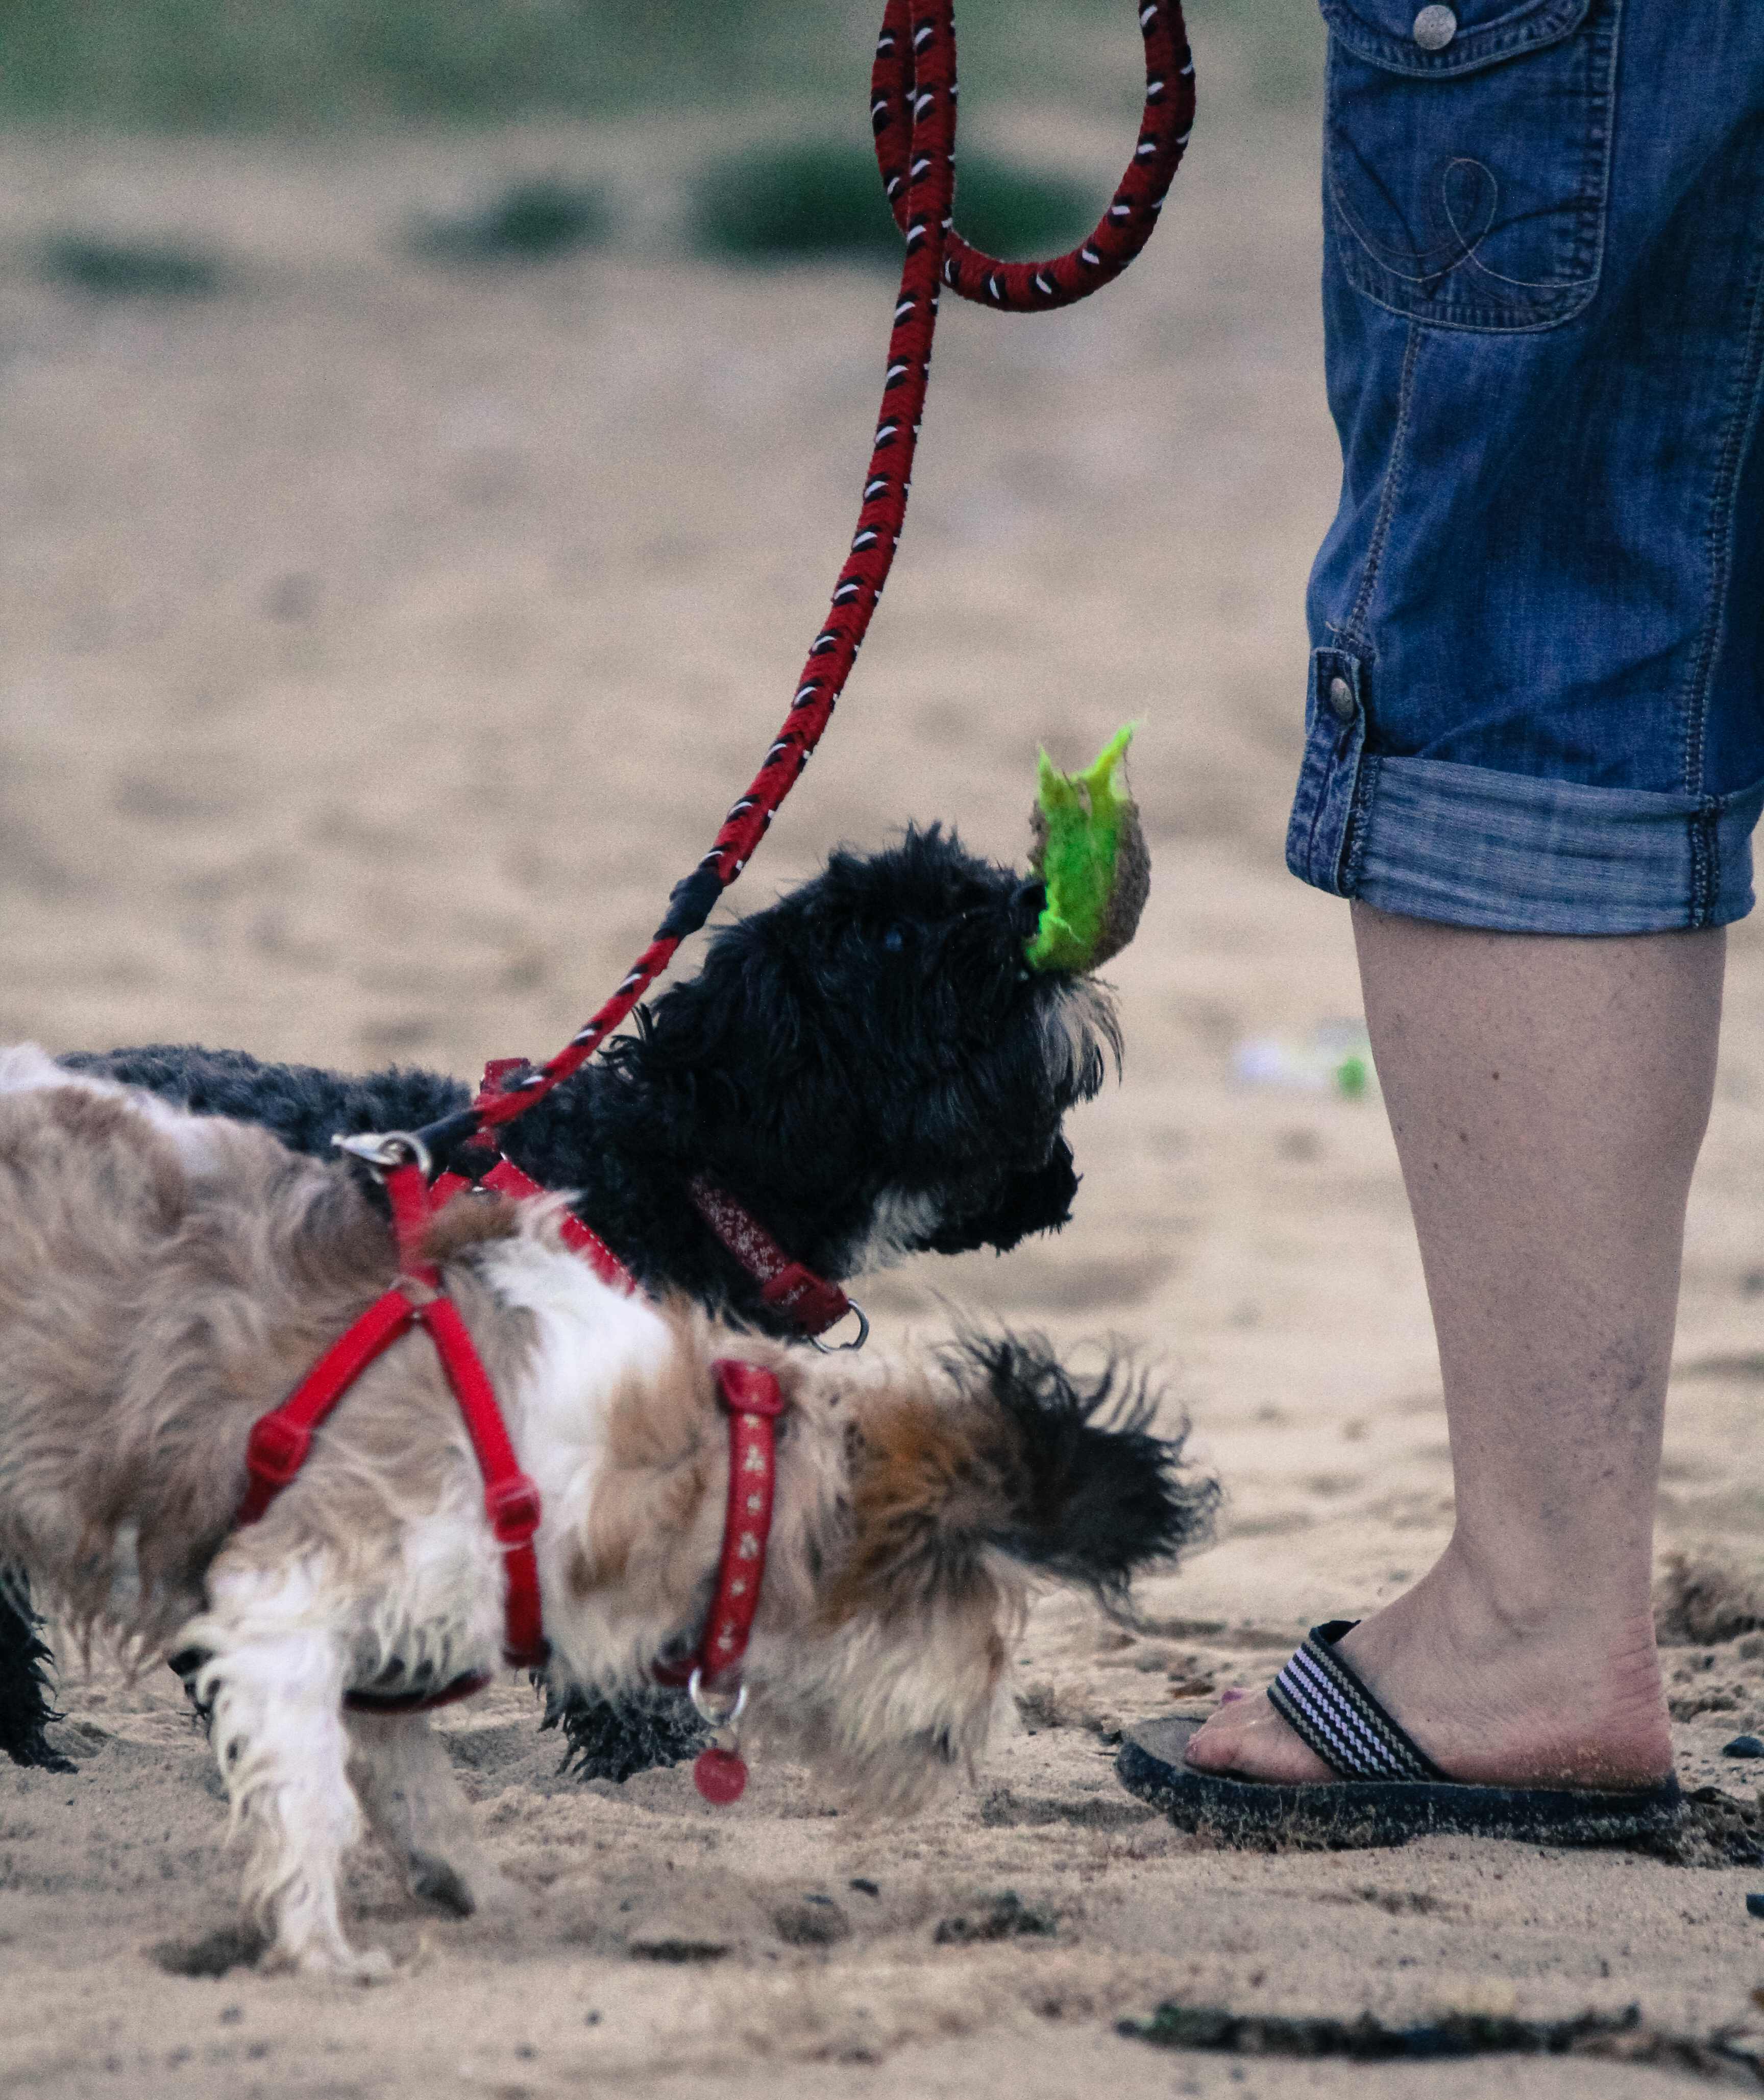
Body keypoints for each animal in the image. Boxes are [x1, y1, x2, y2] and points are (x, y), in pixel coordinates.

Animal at [0, 1058, 1209, 1974]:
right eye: (996, 1635)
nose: (1001, 1728)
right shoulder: (283, 1596)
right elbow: (312, 1797)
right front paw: (321, 1948)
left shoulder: (387, 1636)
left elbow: (418, 1789)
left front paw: (483, 1891)